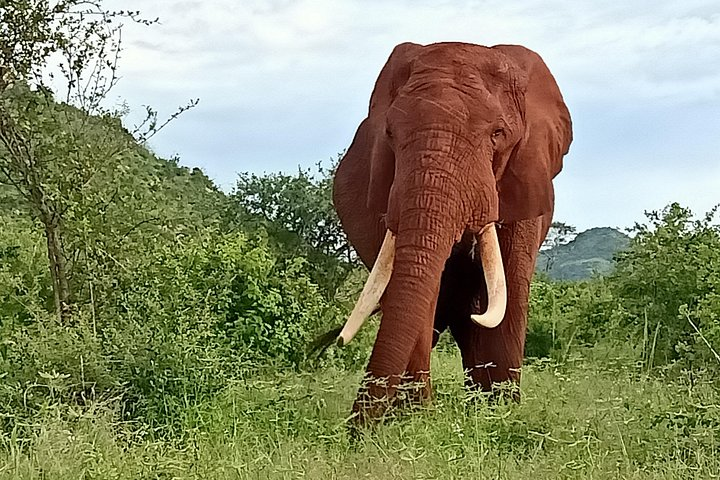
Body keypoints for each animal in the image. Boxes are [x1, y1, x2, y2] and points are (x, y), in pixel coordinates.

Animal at [330, 42, 572, 423]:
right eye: (390, 135)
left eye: (497, 134)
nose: (356, 429)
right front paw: (416, 420)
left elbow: (510, 287)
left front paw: (500, 416)